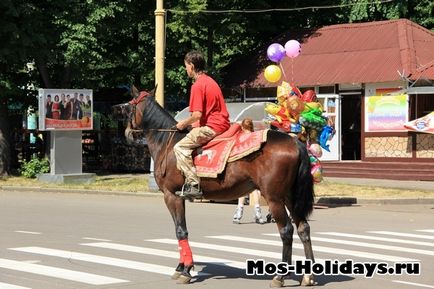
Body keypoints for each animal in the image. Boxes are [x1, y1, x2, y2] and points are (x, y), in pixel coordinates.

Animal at [113, 88, 314, 286]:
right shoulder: (180, 196)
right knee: (303, 228)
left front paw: (185, 270)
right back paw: (308, 275)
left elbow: (180, 230)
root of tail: (295, 141)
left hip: (274, 198)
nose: (128, 133)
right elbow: (181, 230)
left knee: (286, 230)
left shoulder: (171, 196)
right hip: (289, 197)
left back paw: (280, 276)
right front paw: (182, 267)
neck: (167, 142)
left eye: (129, 108)